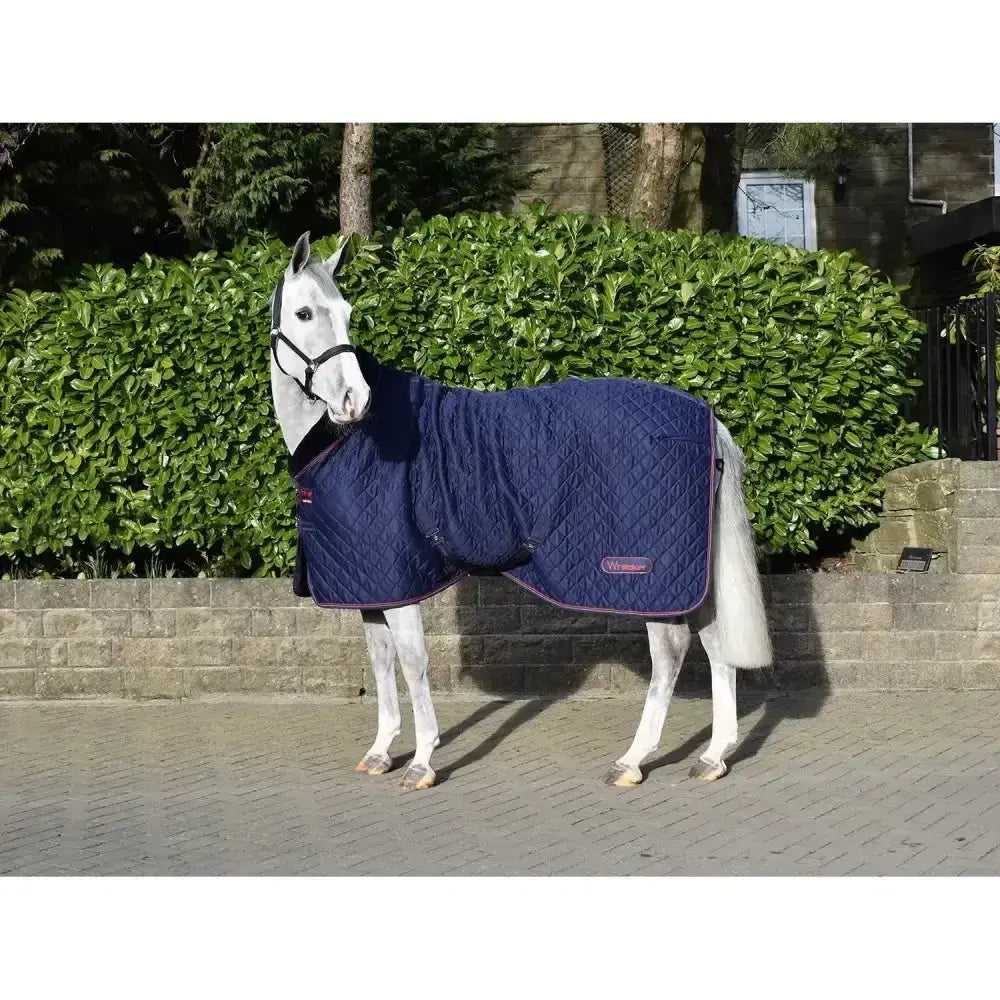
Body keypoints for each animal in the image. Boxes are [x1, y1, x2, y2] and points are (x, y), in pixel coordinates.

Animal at [268, 232, 772, 791]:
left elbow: (414, 662)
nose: (353, 399)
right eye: (306, 313)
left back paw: (633, 760)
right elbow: (381, 662)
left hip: (648, 578)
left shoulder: (402, 580)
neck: (354, 439)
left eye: (348, 313)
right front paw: (381, 752)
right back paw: (713, 756)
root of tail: (705, 419)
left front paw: (422, 762)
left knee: (672, 652)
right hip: (690, 572)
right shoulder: (369, 582)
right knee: (715, 643)